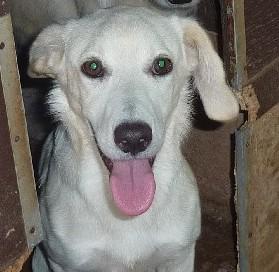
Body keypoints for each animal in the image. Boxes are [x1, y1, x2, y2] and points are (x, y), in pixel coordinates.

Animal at [24, 3, 240, 272]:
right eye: (92, 67)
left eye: (162, 64)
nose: (134, 138)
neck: (127, 214)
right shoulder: (64, 263)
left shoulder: (178, 256)